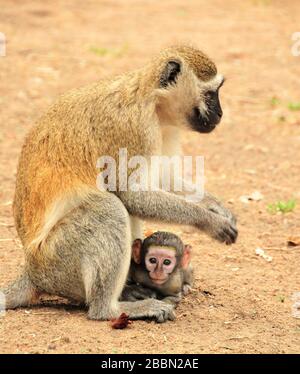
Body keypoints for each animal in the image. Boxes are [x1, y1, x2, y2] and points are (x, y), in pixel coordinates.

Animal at [1, 45, 237, 322]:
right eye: (210, 94)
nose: (220, 114)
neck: (152, 100)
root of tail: (32, 271)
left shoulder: (165, 129)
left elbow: (160, 177)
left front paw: (216, 206)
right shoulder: (134, 128)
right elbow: (132, 194)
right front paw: (209, 221)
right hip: (56, 262)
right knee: (110, 208)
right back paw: (111, 308)